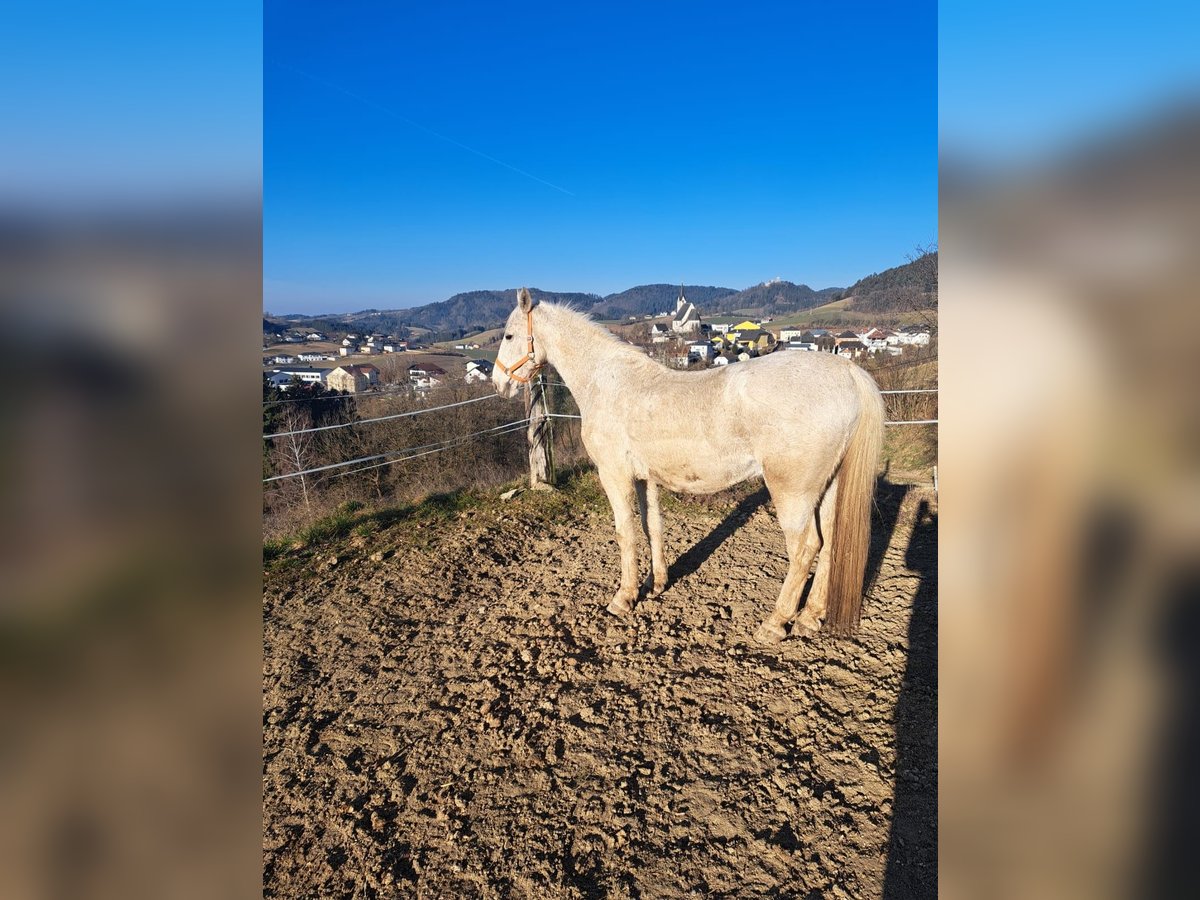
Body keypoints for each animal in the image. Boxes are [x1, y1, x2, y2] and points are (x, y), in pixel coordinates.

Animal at [487, 290, 883, 643]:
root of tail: (847, 372)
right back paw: (810, 618)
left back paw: (775, 625)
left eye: (508, 335)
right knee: (829, 544)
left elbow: (625, 533)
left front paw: (623, 599)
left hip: (793, 492)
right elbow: (652, 527)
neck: (609, 384)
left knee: (805, 549)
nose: (499, 383)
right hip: (827, 488)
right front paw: (655, 584)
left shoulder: (614, 475)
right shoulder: (645, 478)